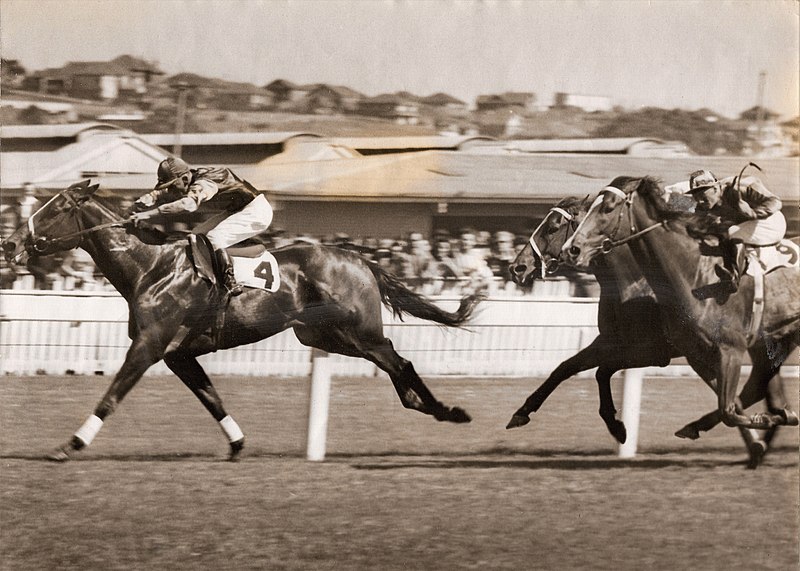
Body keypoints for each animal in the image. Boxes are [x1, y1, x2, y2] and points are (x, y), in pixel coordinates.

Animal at [3, 182, 482, 460]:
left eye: (55, 207)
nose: (10, 245)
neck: (151, 266)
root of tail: (360, 258)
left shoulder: (149, 346)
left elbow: (111, 396)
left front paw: (70, 444)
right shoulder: (178, 354)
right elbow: (212, 399)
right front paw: (237, 445)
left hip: (357, 332)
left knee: (401, 362)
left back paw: (447, 411)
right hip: (324, 335)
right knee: (396, 365)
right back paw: (430, 407)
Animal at [506, 199, 776, 466]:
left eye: (553, 227)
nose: (517, 267)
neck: (633, 283)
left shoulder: (652, 352)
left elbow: (601, 371)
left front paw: (617, 427)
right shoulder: (609, 341)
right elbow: (566, 367)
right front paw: (521, 413)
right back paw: (756, 440)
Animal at [564, 177, 796, 436]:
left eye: (608, 208)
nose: (572, 249)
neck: (696, 276)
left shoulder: (730, 349)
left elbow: (729, 410)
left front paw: (769, 419)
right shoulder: (692, 350)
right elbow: (729, 406)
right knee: (757, 384)